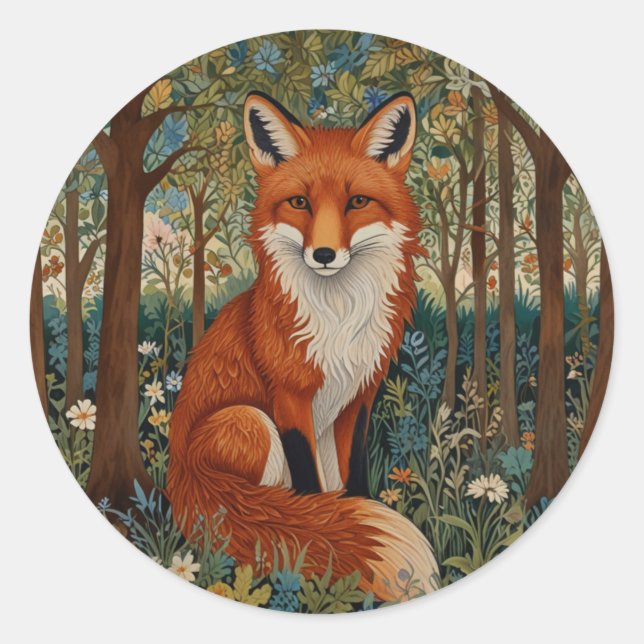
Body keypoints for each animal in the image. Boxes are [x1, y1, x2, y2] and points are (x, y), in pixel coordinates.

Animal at [166, 90, 439, 601]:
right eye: (299, 203)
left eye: (357, 202)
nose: (324, 255)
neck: (338, 318)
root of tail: (177, 481)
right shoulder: (289, 398)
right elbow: (310, 495)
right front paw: (323, 541)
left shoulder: (358, 398)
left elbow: (352, 482)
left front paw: (347, 520)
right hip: (249, 420)